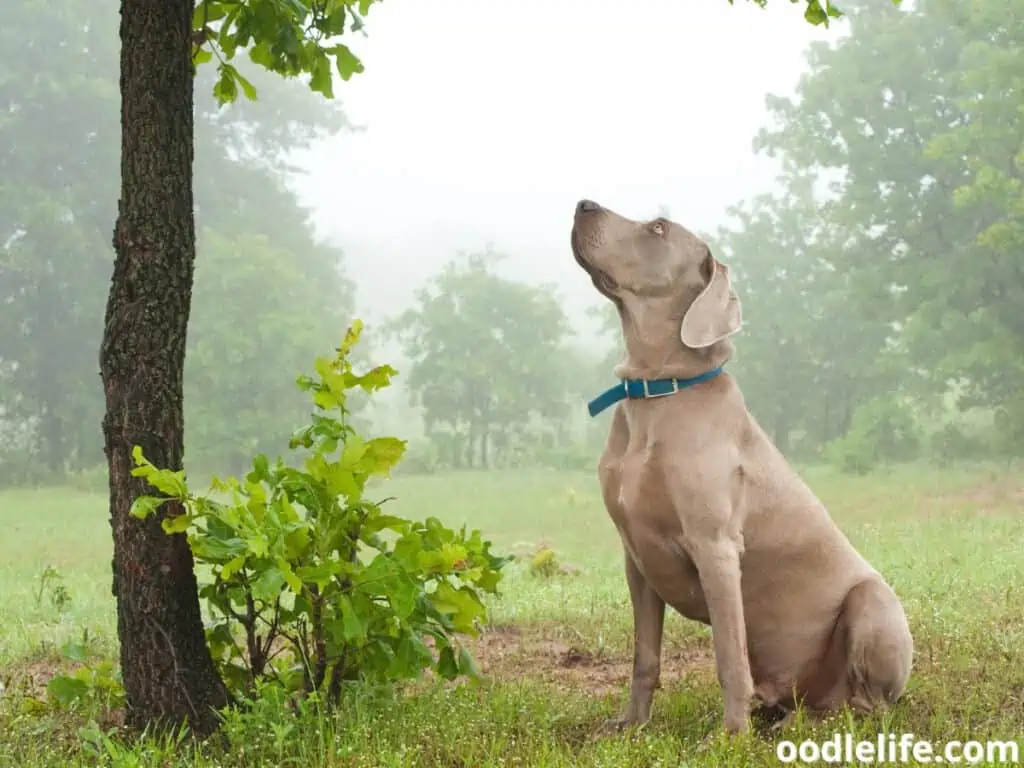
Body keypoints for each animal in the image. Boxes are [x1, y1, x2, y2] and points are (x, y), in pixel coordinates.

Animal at [569, 201, 913, 737]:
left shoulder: (716, 546)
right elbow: (645, 656)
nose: (583, 204)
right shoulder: (636, 556)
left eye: (658, 228)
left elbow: (730, 657)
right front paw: (631, 725)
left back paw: (799, 726)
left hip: (874, 603)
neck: (658, 394)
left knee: (864, 708)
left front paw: (729, 737)